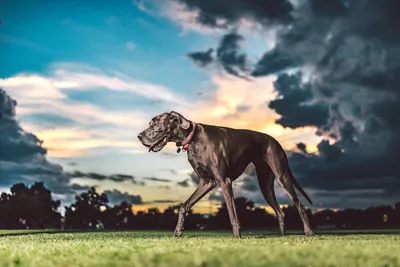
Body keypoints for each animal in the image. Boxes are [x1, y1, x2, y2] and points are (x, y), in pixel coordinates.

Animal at [138, 111, 316, 239]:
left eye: (156, 122)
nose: (139, 136)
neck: (193, 139)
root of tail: (276, 141)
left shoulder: (224, 181)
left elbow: (232, 213)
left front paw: (237, 237)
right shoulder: (207, 182)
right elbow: (184, 206)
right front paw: (178, 232)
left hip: (282, 176)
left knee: (300, 206)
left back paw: (309, 232)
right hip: (265, 185)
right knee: (280, 212)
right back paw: (283, 236)